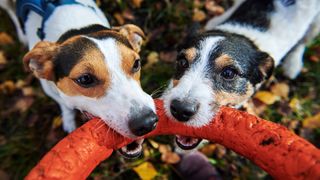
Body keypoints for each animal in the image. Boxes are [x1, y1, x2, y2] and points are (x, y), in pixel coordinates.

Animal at [0, 0, 159, 158]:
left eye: (136, 63)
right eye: (85, 79)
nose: (147, 122)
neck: (74, 26)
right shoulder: (50, 90)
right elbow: (65, 105)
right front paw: (69, 120)